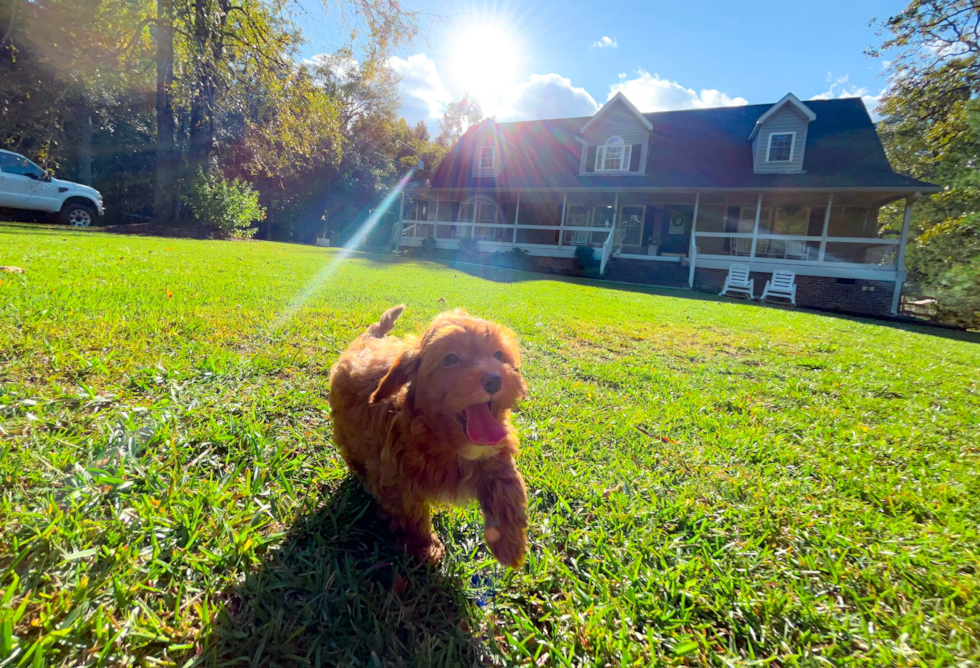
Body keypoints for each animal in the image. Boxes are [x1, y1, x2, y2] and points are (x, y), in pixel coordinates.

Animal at [330, 306, 528, 568]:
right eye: (451, 359)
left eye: (498, 355)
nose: (494, 379)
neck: (449, 443)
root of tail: (370, 338)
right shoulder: (396, 480)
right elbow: (412, 516)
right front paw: (425, 548)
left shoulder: (496, 452)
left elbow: (508, 487)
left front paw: (508, 543)